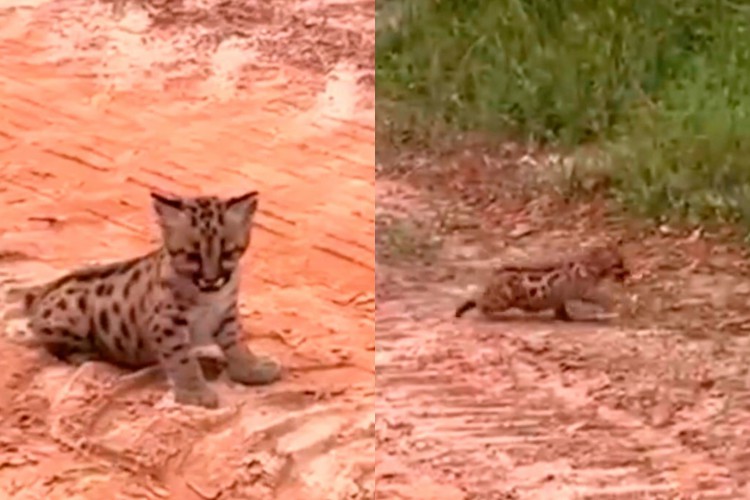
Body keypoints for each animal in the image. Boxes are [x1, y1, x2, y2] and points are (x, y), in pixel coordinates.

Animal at [6, 190, 282, 406]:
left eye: (227, 253)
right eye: (192, 255)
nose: (211, 279)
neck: (209, 297)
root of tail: (40, 295)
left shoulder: (226, 313)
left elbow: (237, 345)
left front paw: (251, 370)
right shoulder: (167, 324)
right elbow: (182, 360)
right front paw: (195, 392)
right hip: (71, 313)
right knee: (54, 346)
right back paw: (91, 355)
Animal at [456, 241, 632, 320]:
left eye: (623, 262)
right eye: (619, 264)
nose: (629, 272)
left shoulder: (561, 295)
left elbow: (560, 308)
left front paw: (565, 317)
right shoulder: (584, 290)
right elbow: (603, 297)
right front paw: (617, 306)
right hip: (501, 301)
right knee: (480, 302)